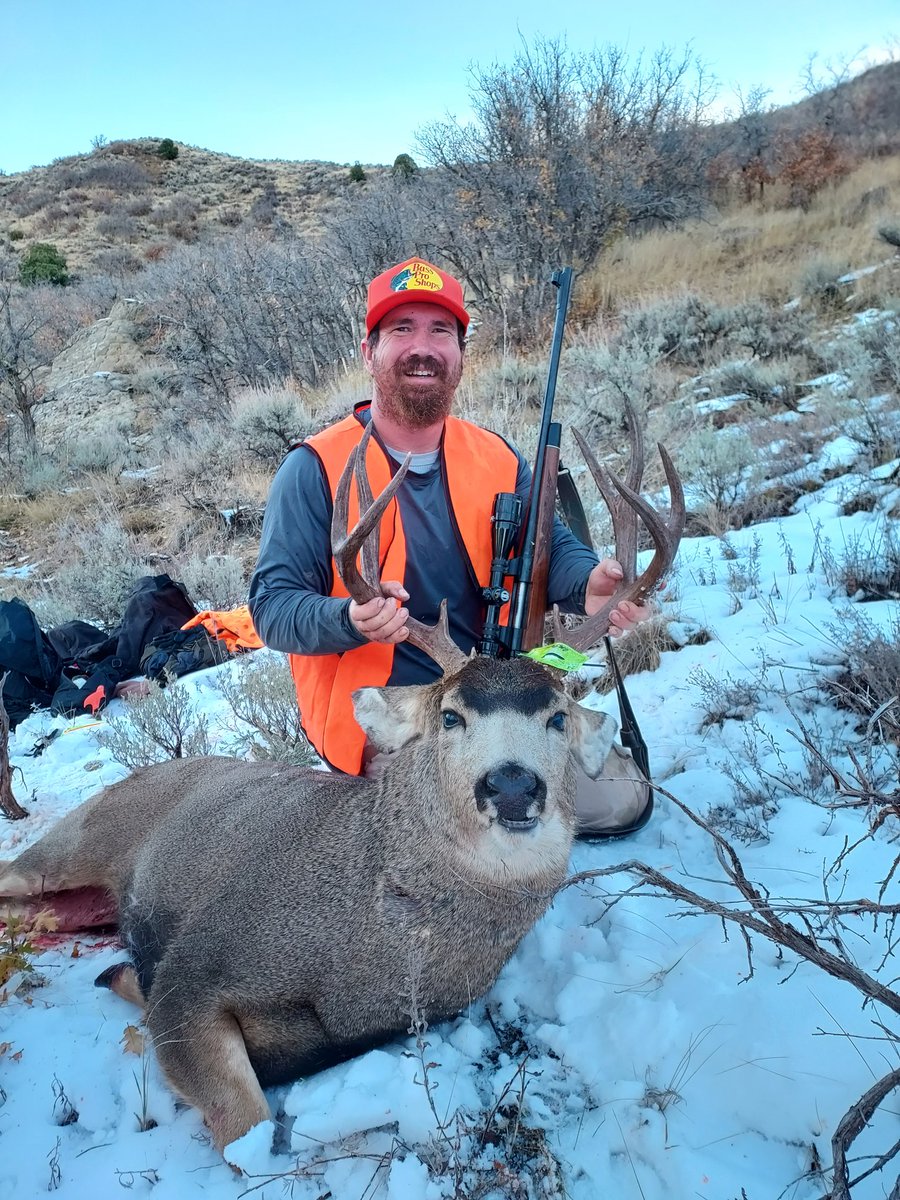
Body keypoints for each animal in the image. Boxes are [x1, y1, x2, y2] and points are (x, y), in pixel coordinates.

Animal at [0, 423, 684, 1163]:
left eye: (558, 717)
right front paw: (130, 987)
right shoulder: (193, 971)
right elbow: (246, 1130)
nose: (510, 784)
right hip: (76, 842)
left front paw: (122, 977)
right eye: (450, 716)